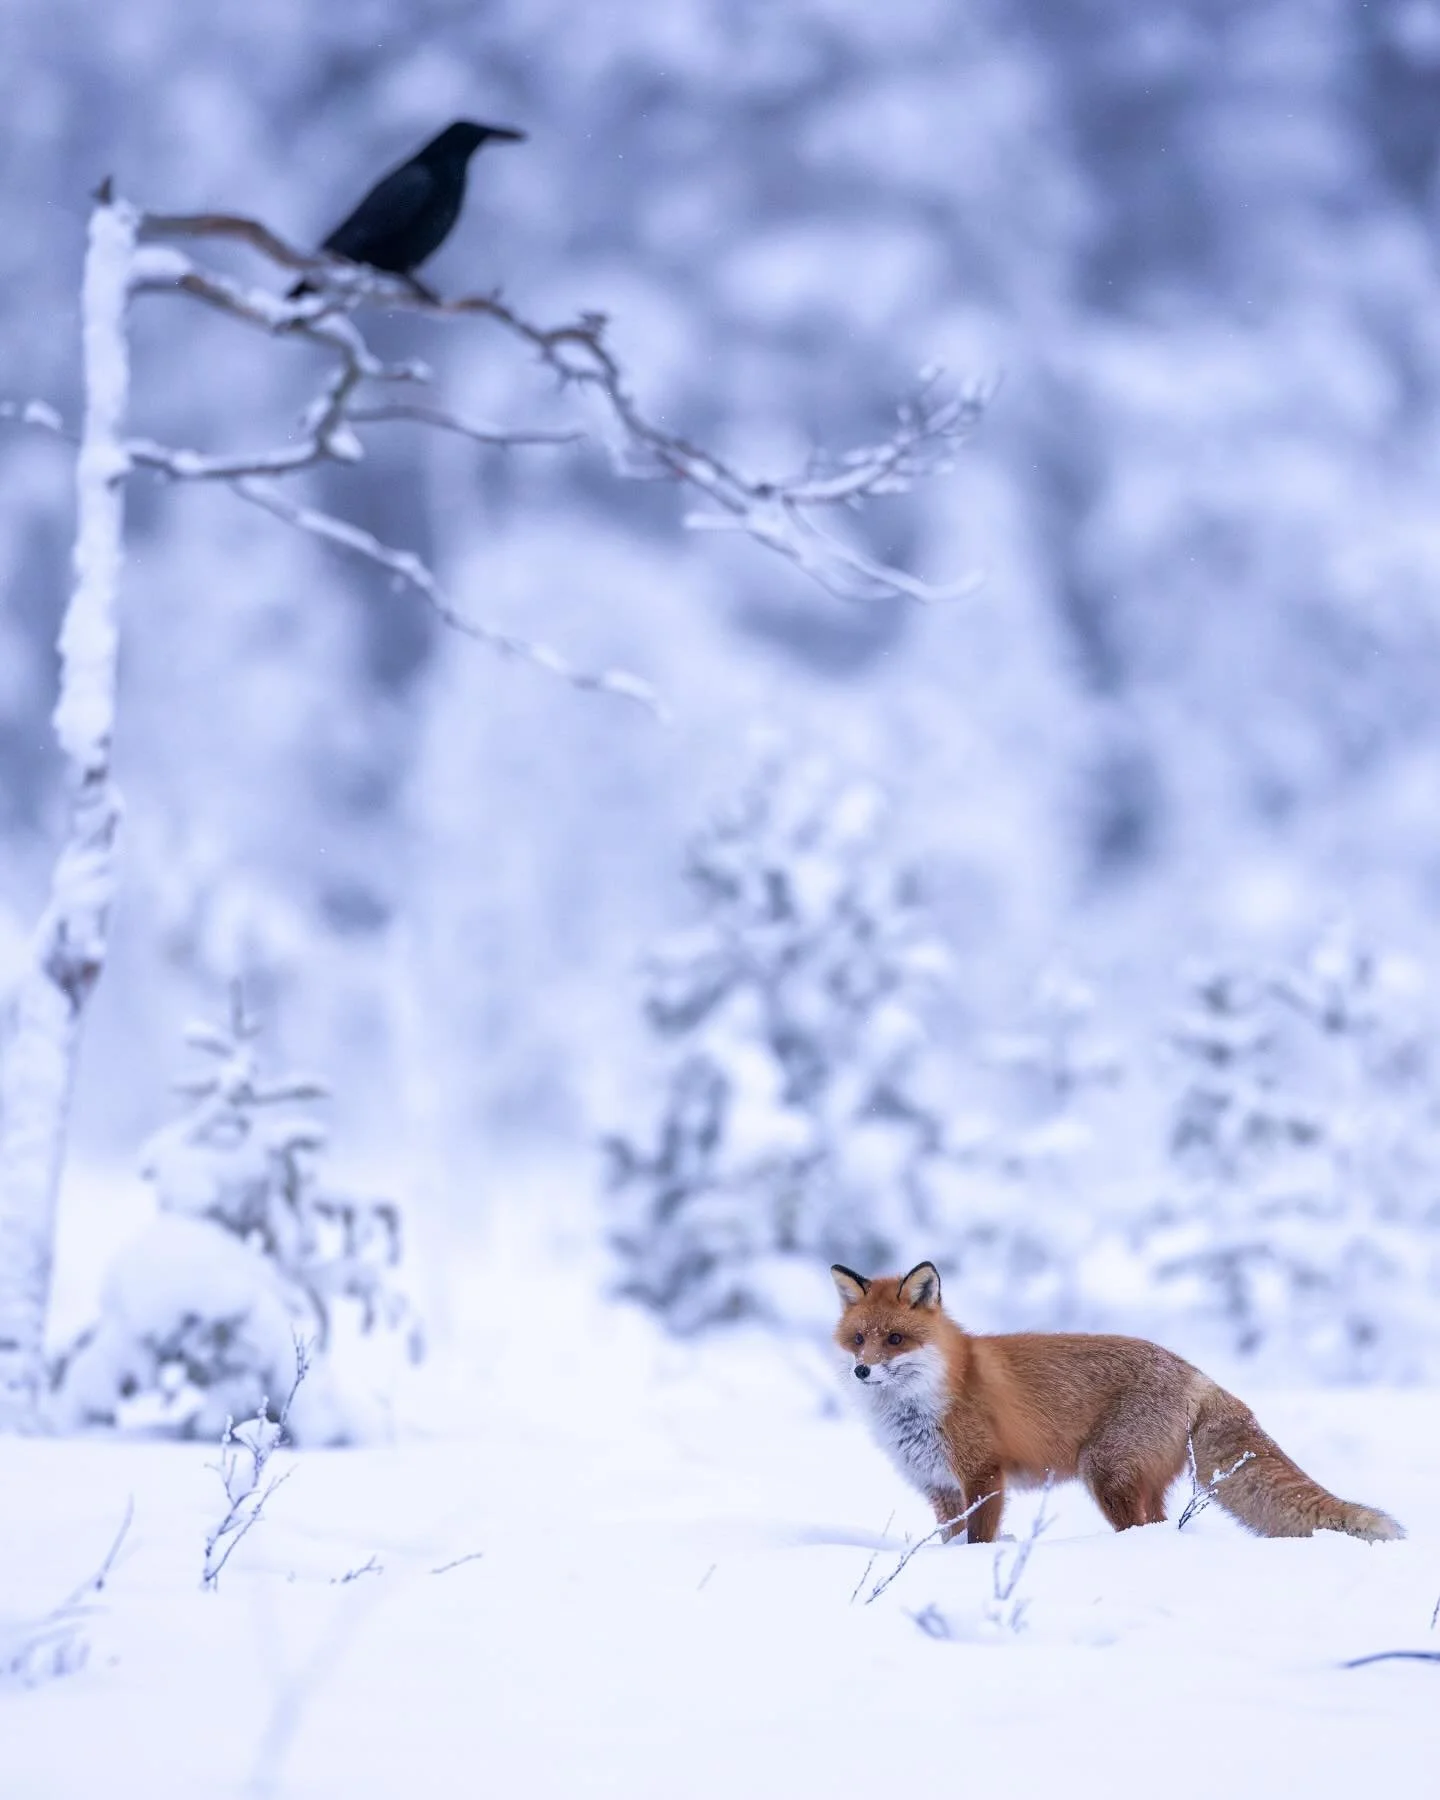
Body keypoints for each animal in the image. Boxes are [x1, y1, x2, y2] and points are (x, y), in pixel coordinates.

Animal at [832, 1260, 1404, 1544]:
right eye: (859, 1339)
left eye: (896, 1340)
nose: (862, 1371)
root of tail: (1195, 1373)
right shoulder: (940, 1488)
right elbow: (950, 1542)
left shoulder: (983, 1476)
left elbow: (979, 1542)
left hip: (1107, 1474)